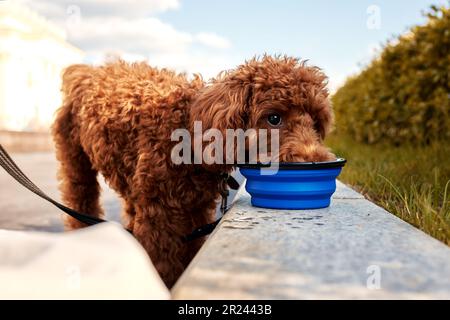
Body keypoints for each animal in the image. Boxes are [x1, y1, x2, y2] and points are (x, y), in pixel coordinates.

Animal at [51, 55, 334, 288]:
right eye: (274, 118)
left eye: (316, 122)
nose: (315, 160)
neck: (190, 137)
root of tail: (86, 73)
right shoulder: (159, 218)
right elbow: (162, 264)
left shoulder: (195, 211)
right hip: (76, 161)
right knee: (81, 200)